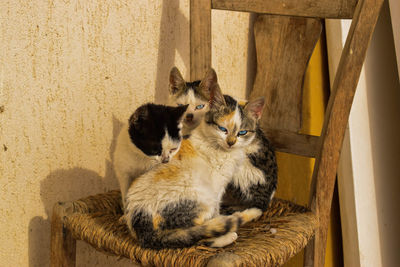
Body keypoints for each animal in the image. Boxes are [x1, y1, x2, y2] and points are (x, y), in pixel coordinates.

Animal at [125, 68, 262, 249]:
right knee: (197, 236)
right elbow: (215, 215)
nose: (231, 142)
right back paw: (229, 234)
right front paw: (223, 221)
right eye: (222, 129)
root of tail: (141, 224)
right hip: (203, 198)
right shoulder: (217, 187)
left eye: (242, 132)